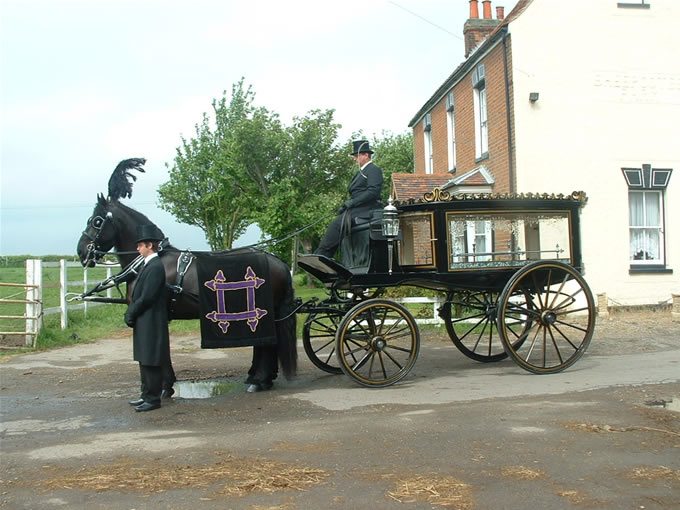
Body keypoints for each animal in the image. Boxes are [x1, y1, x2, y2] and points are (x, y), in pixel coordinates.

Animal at [75, 159, 296, 390]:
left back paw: (259, 380)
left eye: (96, 221)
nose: (81, 251)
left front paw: (164, 385)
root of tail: (278, 262)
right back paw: (260, 378)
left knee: (267, 345)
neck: (150, 260)